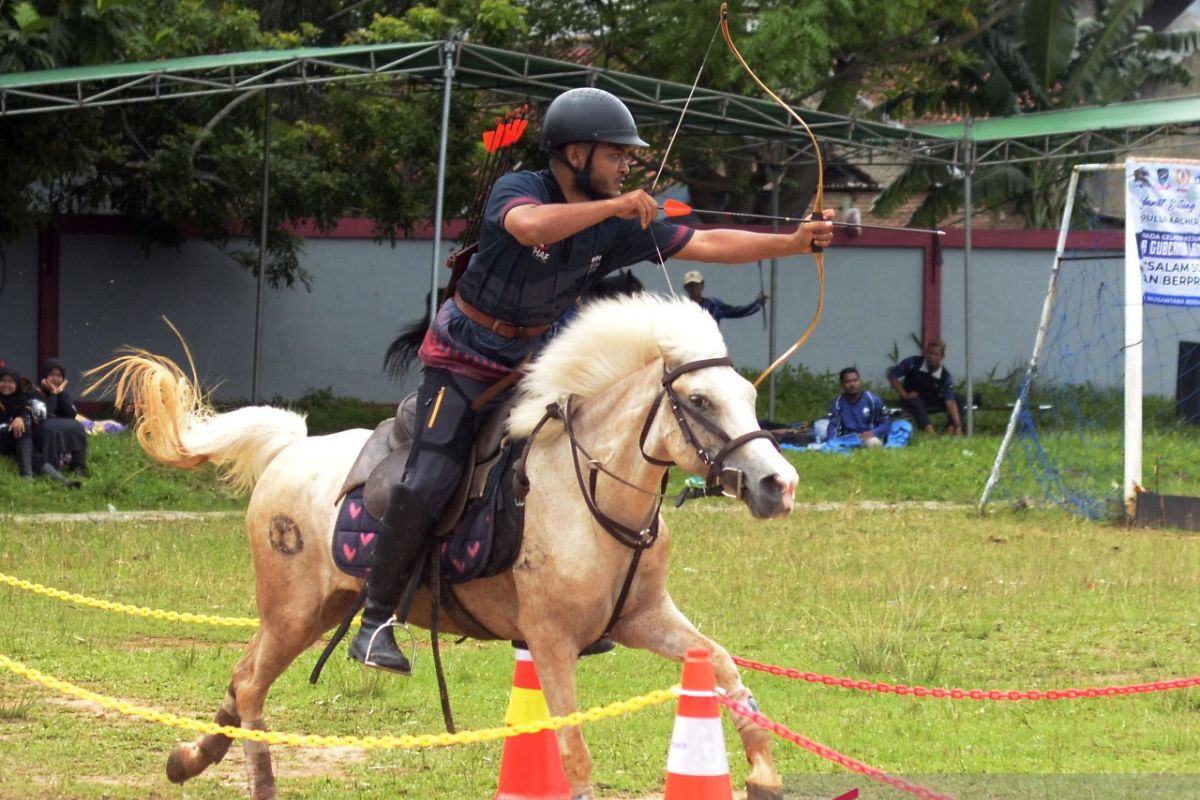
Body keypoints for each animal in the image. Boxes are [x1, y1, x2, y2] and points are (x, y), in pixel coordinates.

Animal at [96, 296, 796, 800]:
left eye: (749, 397)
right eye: (700, 400)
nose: (778, 484)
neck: (590, 494)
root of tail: (291, 448)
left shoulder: (642, 617)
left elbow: (724, 666)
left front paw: (762, 773)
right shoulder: (550, 640)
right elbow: (572, 749)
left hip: (318, 609)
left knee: (243, 681)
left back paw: (189, 758)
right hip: (292, 610)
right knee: (250, 685)